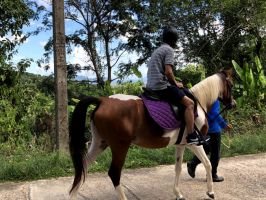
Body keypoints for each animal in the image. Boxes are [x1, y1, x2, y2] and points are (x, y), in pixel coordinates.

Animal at [68, 69, 233, 200]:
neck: (196, 104)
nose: (233, 104)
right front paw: (210, 192)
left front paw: (178, 194)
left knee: (82, 167)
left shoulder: (181, 144)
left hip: (100, 143)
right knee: (114, 173)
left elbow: (178, 168)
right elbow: (207, 163)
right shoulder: (194, 144)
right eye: (230, 85)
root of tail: (102, 101)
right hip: (120, 146)